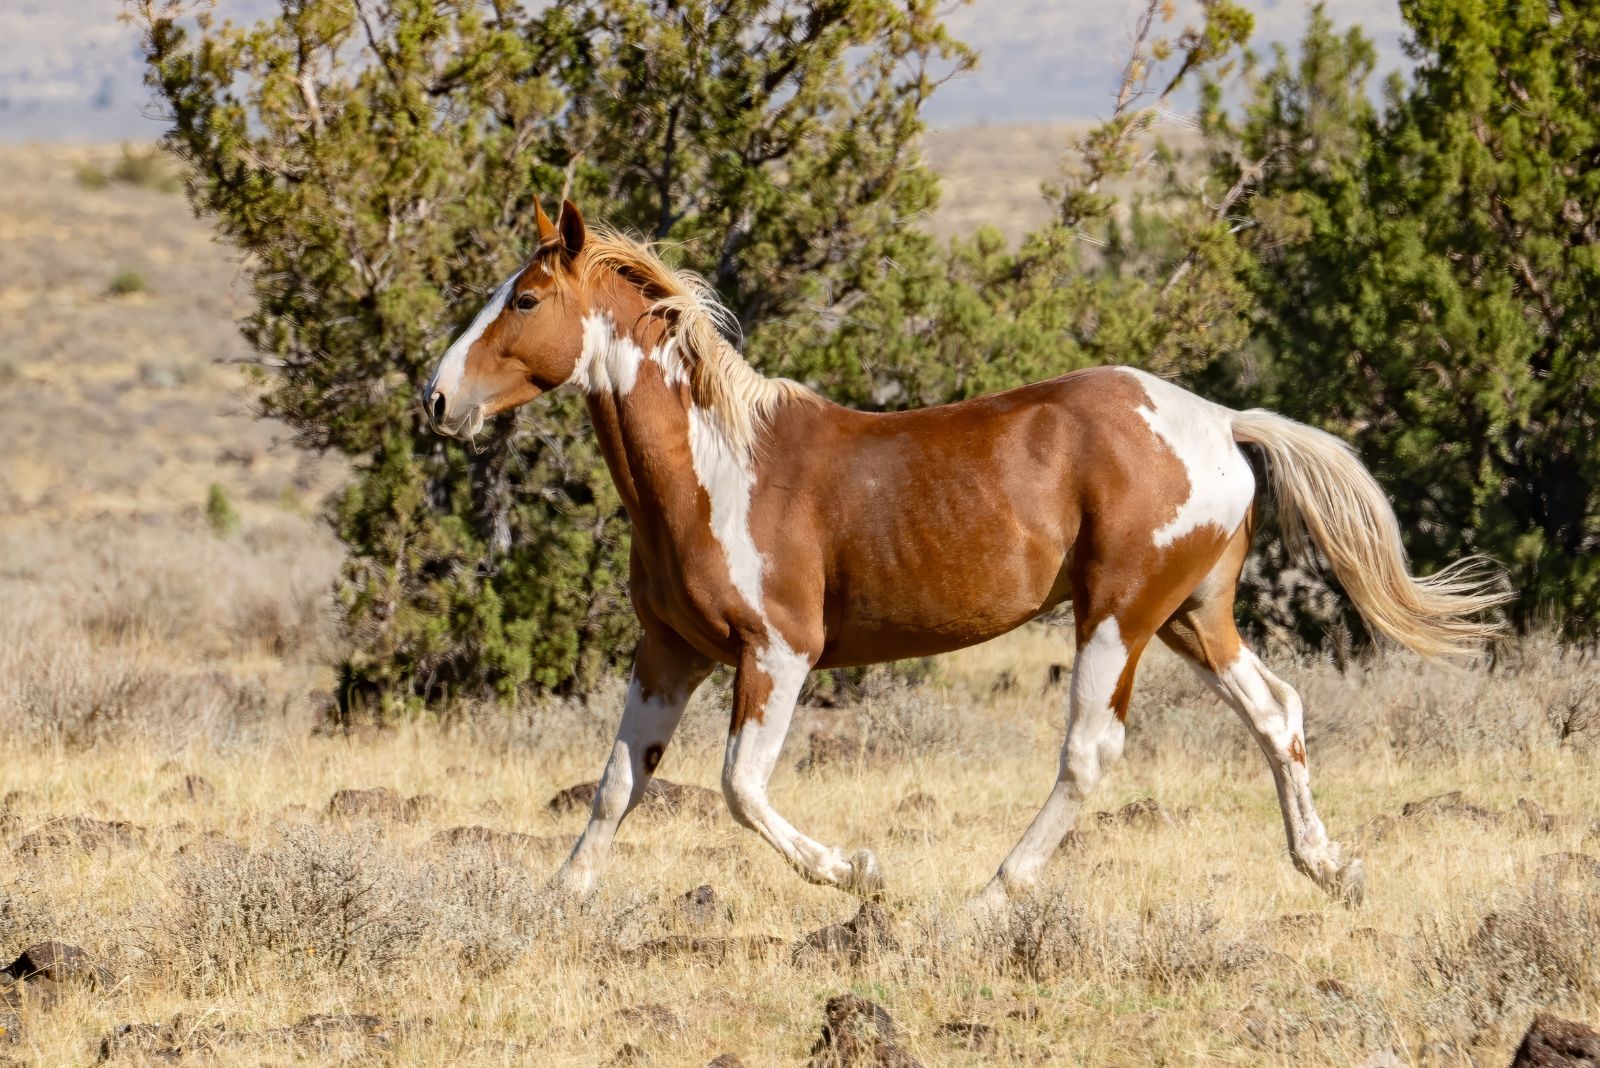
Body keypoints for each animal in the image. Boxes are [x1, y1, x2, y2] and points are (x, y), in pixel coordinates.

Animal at [422, 195, 1497, 908]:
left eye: (524, 300)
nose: (436, 400)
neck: (713, 469)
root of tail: (1225, 424)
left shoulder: (779, 653)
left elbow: (737, 786)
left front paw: (858, 871)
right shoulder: (670, 651)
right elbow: (620, 781)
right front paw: (562, 899)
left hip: (1119, 612)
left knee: (1090, 751)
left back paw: (992, 894)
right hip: (1194, 615)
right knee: (1277, 713)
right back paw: (1329, 867)